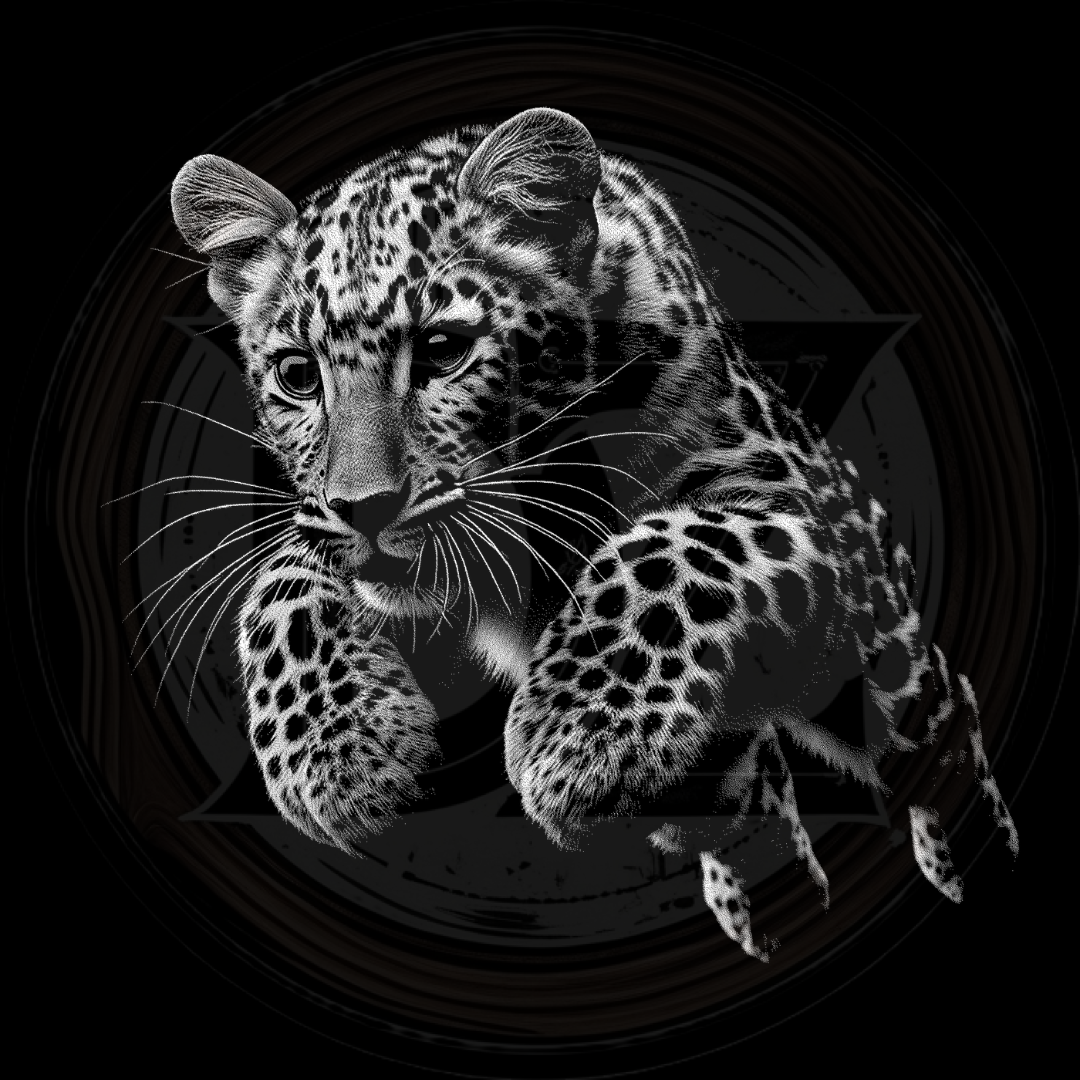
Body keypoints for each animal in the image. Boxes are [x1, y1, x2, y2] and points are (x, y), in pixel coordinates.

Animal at [169, 107, 1019, 960]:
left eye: (444, 351)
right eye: (296, 375)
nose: (364, 508)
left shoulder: (786, 502)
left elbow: (665, 548)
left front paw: (576, 735)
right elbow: (281, 579)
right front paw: (338, 754)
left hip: (888, 650)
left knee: (940, 729)